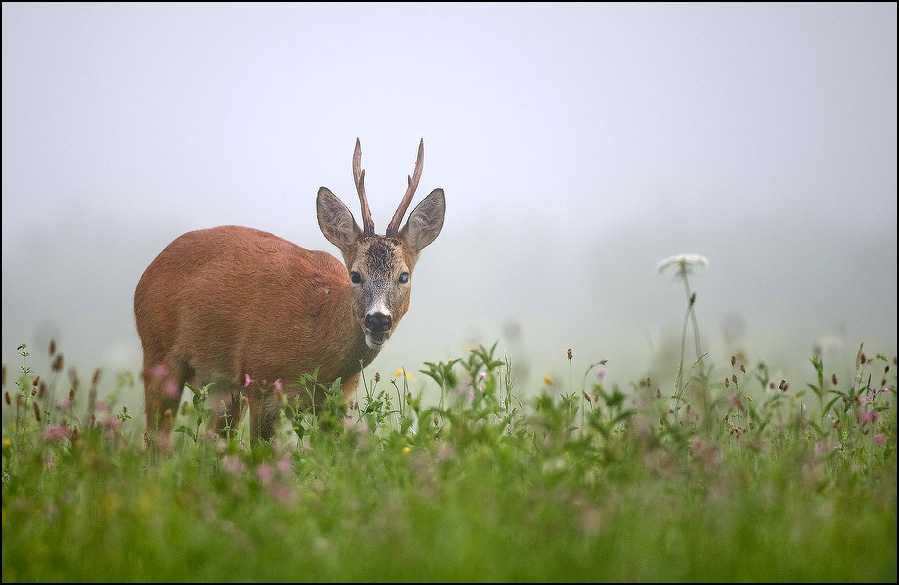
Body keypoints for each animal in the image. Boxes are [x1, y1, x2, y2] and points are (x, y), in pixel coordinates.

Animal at [134, 139, 446, 444]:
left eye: (403, 276)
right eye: (355, 275)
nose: (378, 320)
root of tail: (149, 270)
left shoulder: (336, 399)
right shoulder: (262, 381)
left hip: (222, 385)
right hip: (158, 352)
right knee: (155, 439)